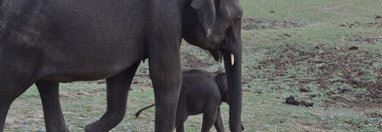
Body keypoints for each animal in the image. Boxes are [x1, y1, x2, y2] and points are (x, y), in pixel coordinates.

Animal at [0, 0, 243, 131]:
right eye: (238, 18)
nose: (240, 127)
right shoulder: (163, 16)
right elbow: (168, 79)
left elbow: (120, 82)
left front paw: (90, 129)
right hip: (17, 45)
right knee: (7, 93)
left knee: (48, 86)